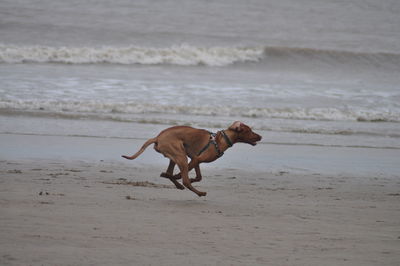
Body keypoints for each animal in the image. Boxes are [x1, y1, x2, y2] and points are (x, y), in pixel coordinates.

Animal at [122, 121, 262, 196]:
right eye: (250, 130)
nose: (261, 136)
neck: (220, 140)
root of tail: (157, 137)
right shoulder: (194, 160)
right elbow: (184, 176)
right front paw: (182, 177)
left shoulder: (196, 159)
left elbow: (199, 177)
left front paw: (192, 178)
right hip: (181, 156)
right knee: (184, 180)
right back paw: (199, 192)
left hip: (176, 156)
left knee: (170, 173)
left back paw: (176, 183)